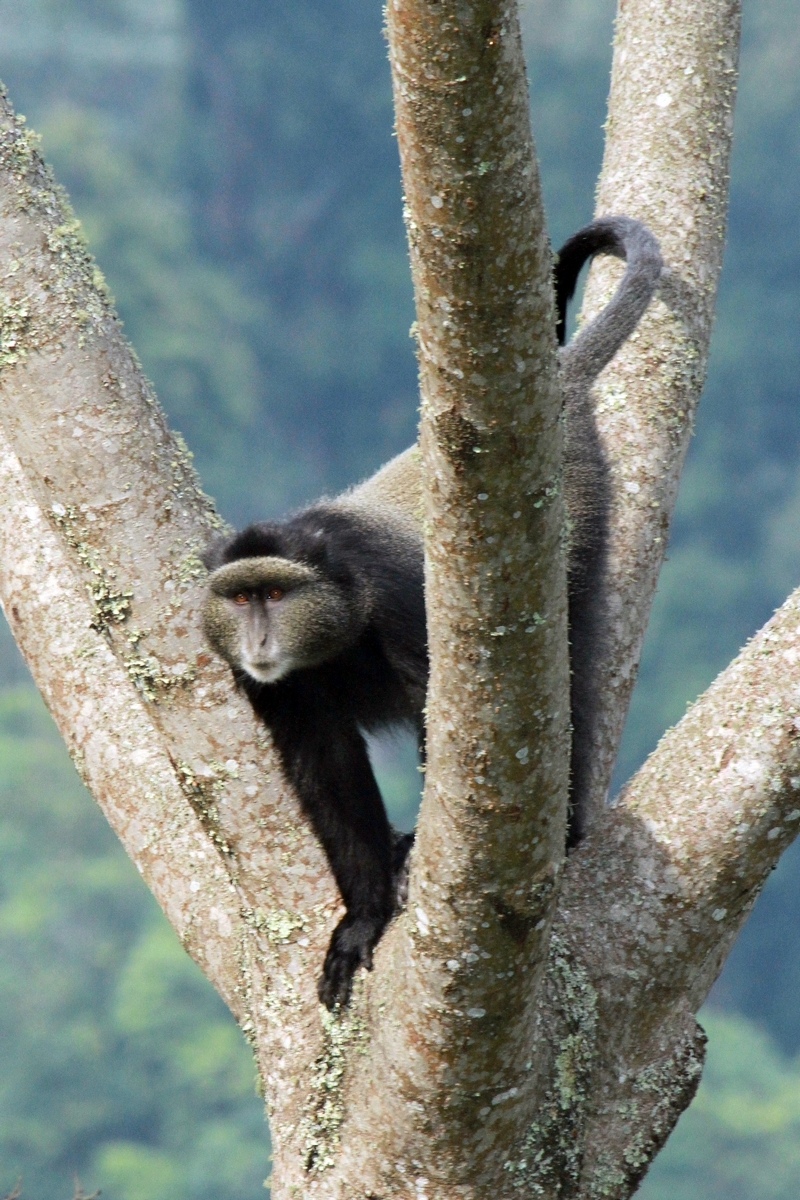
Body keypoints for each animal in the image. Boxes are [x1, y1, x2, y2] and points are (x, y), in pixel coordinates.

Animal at [202, 214, 662, 1008]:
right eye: (239, 597)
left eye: (275, 594)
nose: (259, 638)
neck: (333, 631)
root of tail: (562, 389)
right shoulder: (279, 692)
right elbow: (326, 771)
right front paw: (364, 916)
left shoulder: (395, 597)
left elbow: (439, 717)